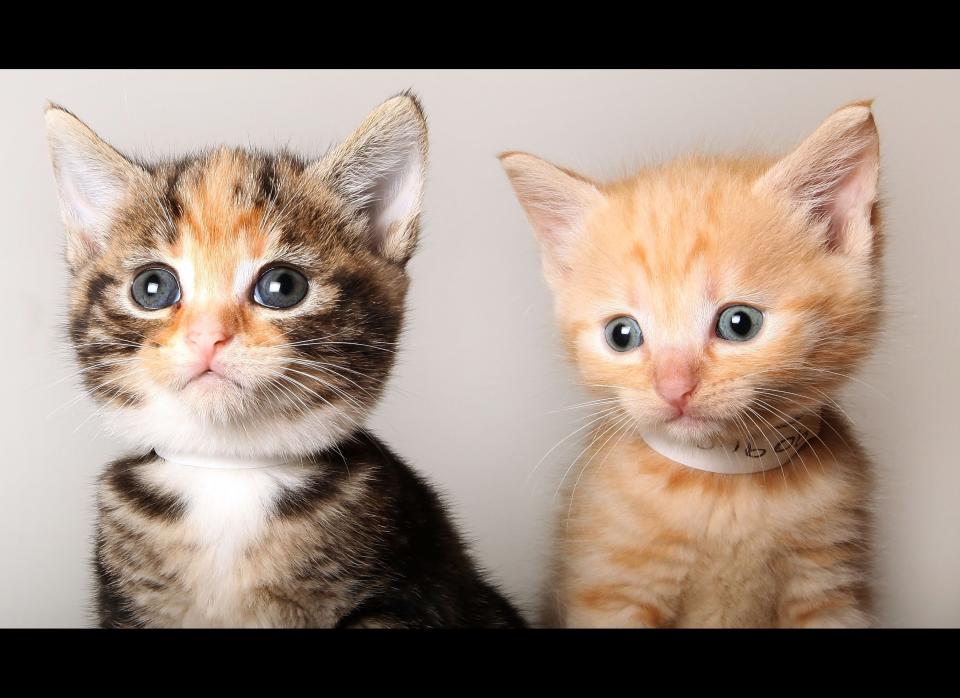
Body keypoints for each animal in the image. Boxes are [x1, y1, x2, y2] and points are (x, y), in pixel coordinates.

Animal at [502, 99, 884, 624]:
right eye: (622, 334)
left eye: (739, 324)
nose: (674, 387)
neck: (722, 481)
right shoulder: (613, 588)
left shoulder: (828, 585)